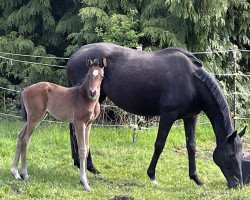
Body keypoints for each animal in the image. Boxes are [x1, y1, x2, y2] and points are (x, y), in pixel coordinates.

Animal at [66, 42, 246, 188]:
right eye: (230, 155)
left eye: (241, 154)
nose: (237, 184)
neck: (192, 81)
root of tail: (73, 57)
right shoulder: (168, 115)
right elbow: (159, 144)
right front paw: (152, 175)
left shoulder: (190, 117)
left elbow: (191, 146)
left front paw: (196, 178)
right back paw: (89, 166)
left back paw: (80, 163)